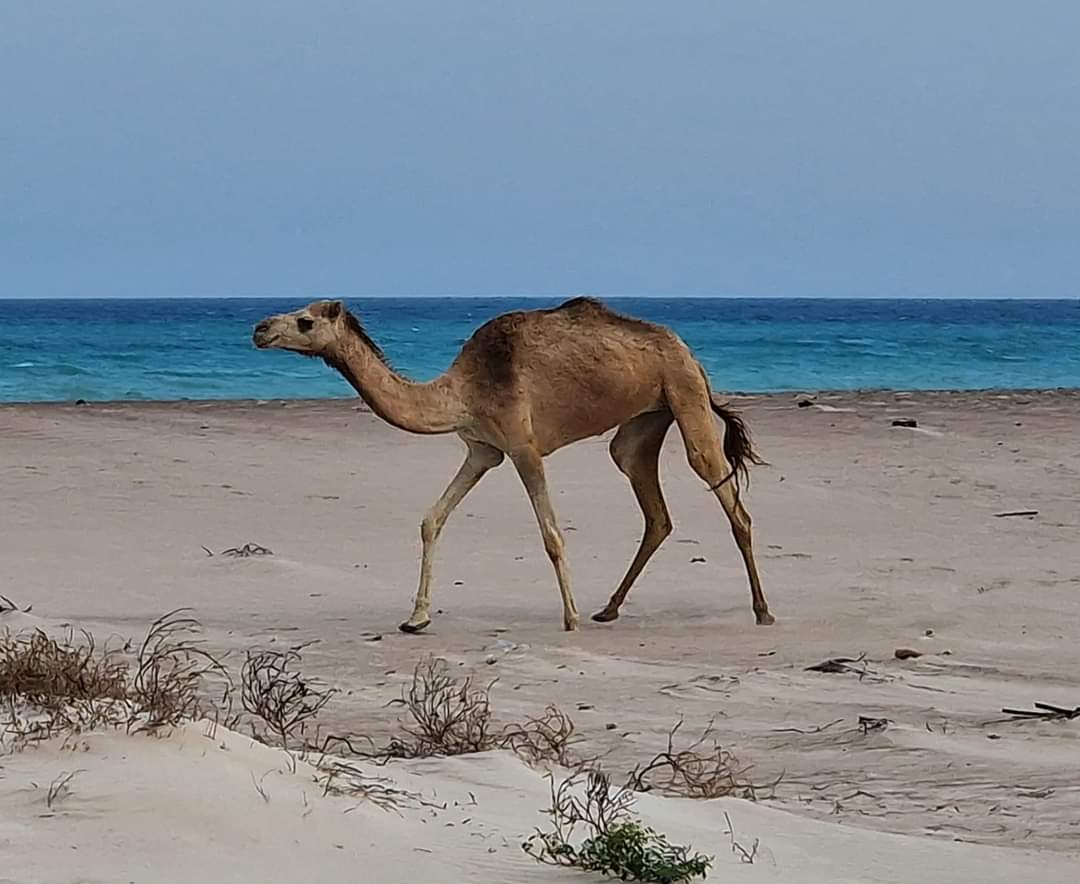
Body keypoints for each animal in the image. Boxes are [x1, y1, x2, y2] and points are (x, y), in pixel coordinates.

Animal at [250, 300, 777, 634]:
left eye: (304, 321)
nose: (259, 329)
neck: (460, 392)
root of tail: (687, 349)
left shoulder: (524, 447)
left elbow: (552, 535)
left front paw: (570, 617)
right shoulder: (483, 450)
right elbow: (431, 519)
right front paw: (416, 618)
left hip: (684, 393)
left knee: (728, 497)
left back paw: (762, 610)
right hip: (646, 418)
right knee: (651, 503)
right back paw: (609, 609)